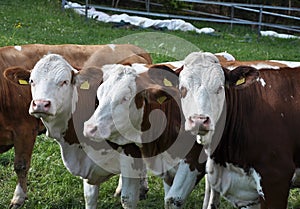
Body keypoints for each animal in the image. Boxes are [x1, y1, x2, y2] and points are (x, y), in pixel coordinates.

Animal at [2, 44, 152, 209]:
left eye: (64, 81)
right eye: (32, 81)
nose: (40, 104)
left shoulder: (24, 130)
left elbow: (20, 165)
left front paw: (18, 198)